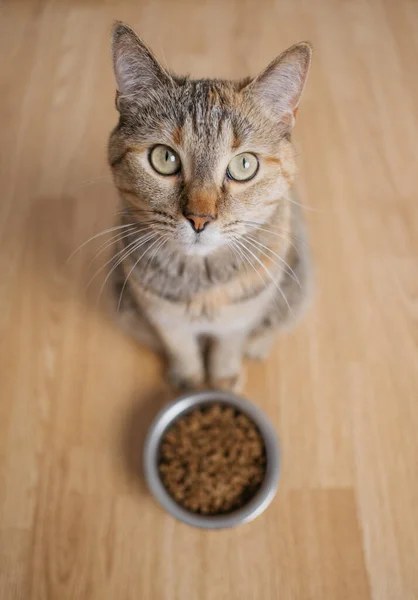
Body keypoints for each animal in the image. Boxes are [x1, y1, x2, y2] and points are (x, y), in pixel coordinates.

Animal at [109, 21, 312, 392]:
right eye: (164, 158)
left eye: (244, 165)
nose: (199, 218)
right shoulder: (162, 317)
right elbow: (182, 350)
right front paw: (189, 382)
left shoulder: (240, 317)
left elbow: (227, 351)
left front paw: (222, 381)